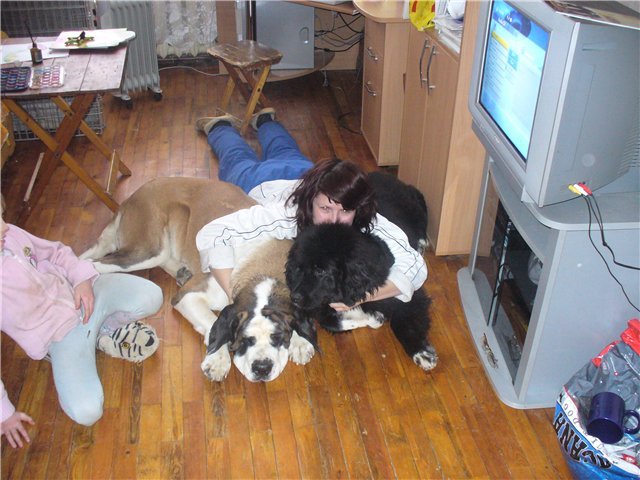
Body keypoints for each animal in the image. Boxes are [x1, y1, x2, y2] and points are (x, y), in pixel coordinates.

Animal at [81, 177, 316, 382]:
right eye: (244, 339)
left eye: (279, 338)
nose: (262, 367)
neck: (262, 272)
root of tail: (130, 198)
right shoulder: (188, 296)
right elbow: (213, 322)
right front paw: (218, 360)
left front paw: (300, 341)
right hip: (147, 250)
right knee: (94, 263)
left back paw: (182, 272)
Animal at [286, 223, 438, 372]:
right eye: (299, 268)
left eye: (320, 271)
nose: (294, 297)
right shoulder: (322, 309)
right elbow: (332, 323)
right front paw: (372, 318)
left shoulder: (409, 297)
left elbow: (402, 324)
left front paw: (421, 353)